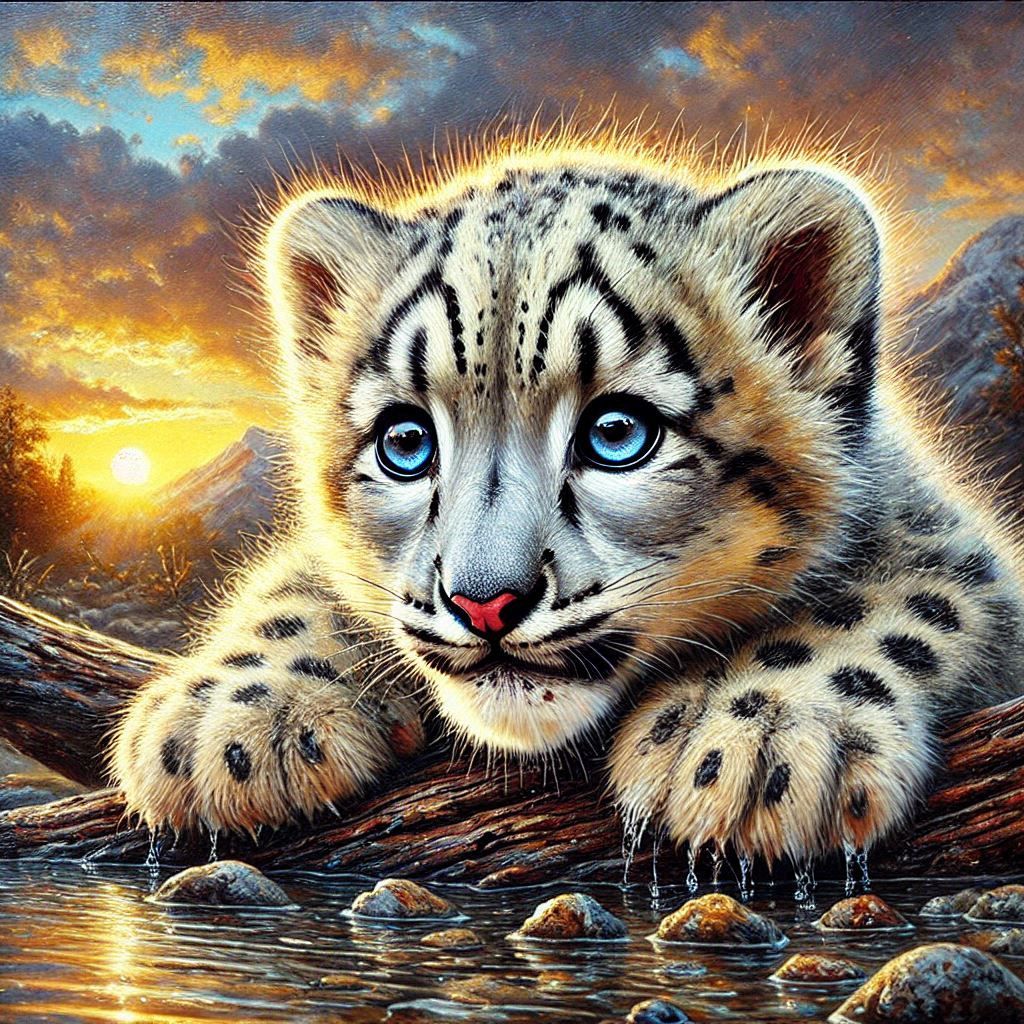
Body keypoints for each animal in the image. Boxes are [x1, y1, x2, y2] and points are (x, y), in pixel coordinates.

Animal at [111, 131, 1024, 872]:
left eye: (618, 433)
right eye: (405, 441)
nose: (483, 602)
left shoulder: (942, 539)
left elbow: (899, 594)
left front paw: (754, 738)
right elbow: (301, 584)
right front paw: (220, 723)